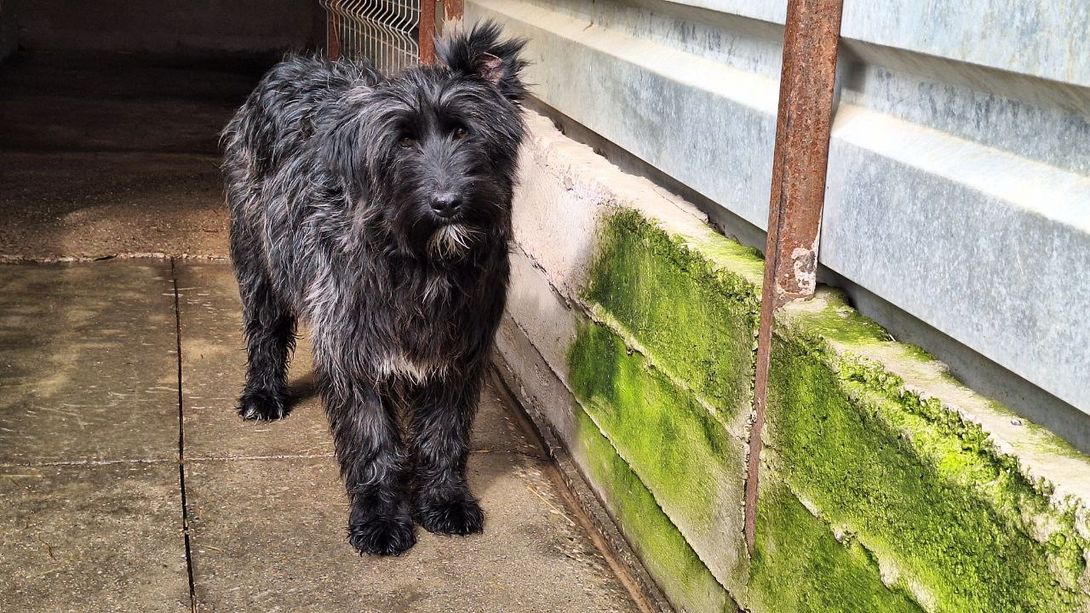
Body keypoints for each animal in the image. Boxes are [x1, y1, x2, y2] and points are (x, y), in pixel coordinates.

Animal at [220, 21, 527, 556]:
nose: (447, 203)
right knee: (264, 329)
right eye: (402, 143)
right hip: (258, 259)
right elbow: (373, 443)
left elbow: (443, 436)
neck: (422, 264)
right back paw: (262, 395)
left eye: (463, 130)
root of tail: (291, 65)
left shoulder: (458, 355)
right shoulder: (352, 352)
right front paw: (381, 518)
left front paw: (445, 501)